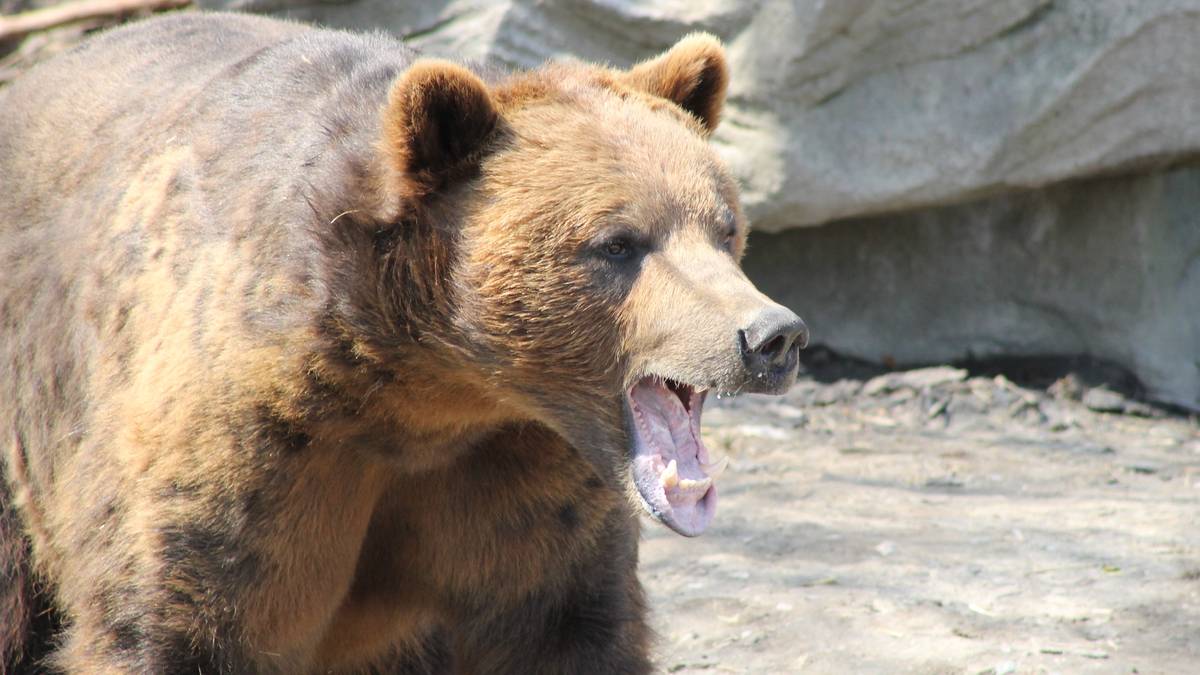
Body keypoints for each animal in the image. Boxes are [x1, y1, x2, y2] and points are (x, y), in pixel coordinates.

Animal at [0, 11, 811, 672]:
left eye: (724, 227)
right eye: (618, 242)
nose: (771, 335)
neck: (427, 388)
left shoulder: (520, 485)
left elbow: (567, 626)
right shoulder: (245, 449)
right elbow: (171, 618)